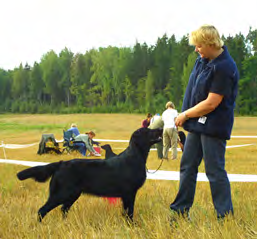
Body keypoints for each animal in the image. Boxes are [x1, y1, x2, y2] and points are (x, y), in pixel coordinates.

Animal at [17, 128, 162, 221]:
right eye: (148, 130)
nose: (161, 128)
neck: (135, 156)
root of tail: (60, 163)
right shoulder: (129, 193)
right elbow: (129, 212)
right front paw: (131, 226)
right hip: (61, 194)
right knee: (42, 210)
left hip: (72, 194)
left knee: (63, 209)